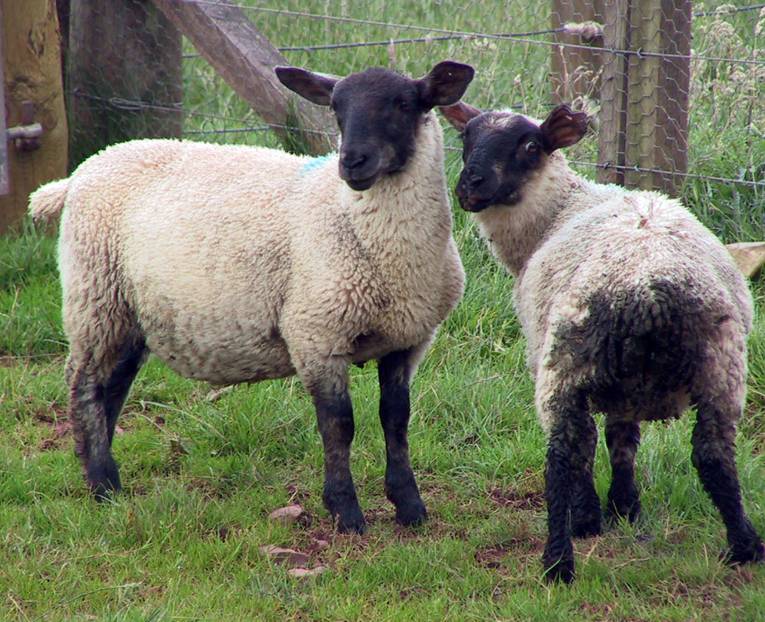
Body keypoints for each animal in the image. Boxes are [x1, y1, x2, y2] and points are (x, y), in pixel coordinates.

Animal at [29, 60, 475, 534]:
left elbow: (396, 419)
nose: (352, 162)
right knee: (85, 385)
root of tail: (79, 174)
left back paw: (103, 476)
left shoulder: (408, 339)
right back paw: (102, 483)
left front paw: (410, 506)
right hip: (96, 296)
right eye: (336, 109)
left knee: (111, 387)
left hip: (130, 312)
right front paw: (346, 511)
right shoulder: (316, 333)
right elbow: (339, 425)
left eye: (405, 104)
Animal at [440, 101, 764, 582]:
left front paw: (594, 516)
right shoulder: (626, 388)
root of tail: (650, 289)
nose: (470, 186)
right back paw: (745, 547)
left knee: (563, 457)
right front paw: (624, 508)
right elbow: (622, 438)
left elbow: (597, 443)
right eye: (466, 137)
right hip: (722, 364)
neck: (557, 210)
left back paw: (558, 560)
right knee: (714, 456)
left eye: (530, 146)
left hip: (564, 363)